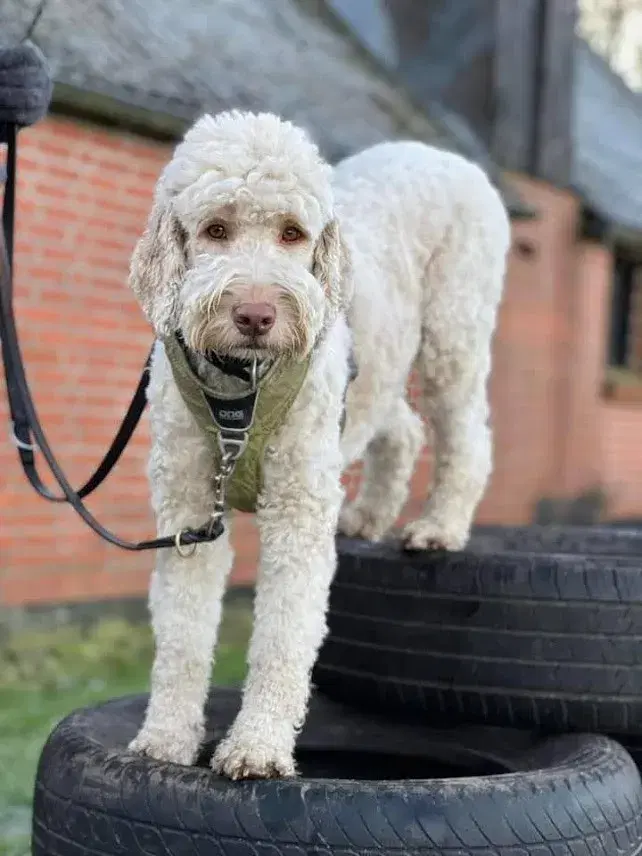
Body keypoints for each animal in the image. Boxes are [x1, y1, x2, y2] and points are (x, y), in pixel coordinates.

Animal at [126, 110, 510, 780]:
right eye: (215, 228)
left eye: (292, 233)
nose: (256, 315)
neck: (241, 388)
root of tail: (440, 153)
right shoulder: (186, 507)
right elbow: (182, 635)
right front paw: (166, 739)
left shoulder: (298, 507)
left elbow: (283, 634)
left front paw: (257, 745)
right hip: (378, 371)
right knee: (401, 428)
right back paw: (369, 515)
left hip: (454, 333)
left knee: (465, 435)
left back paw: (439, 525)